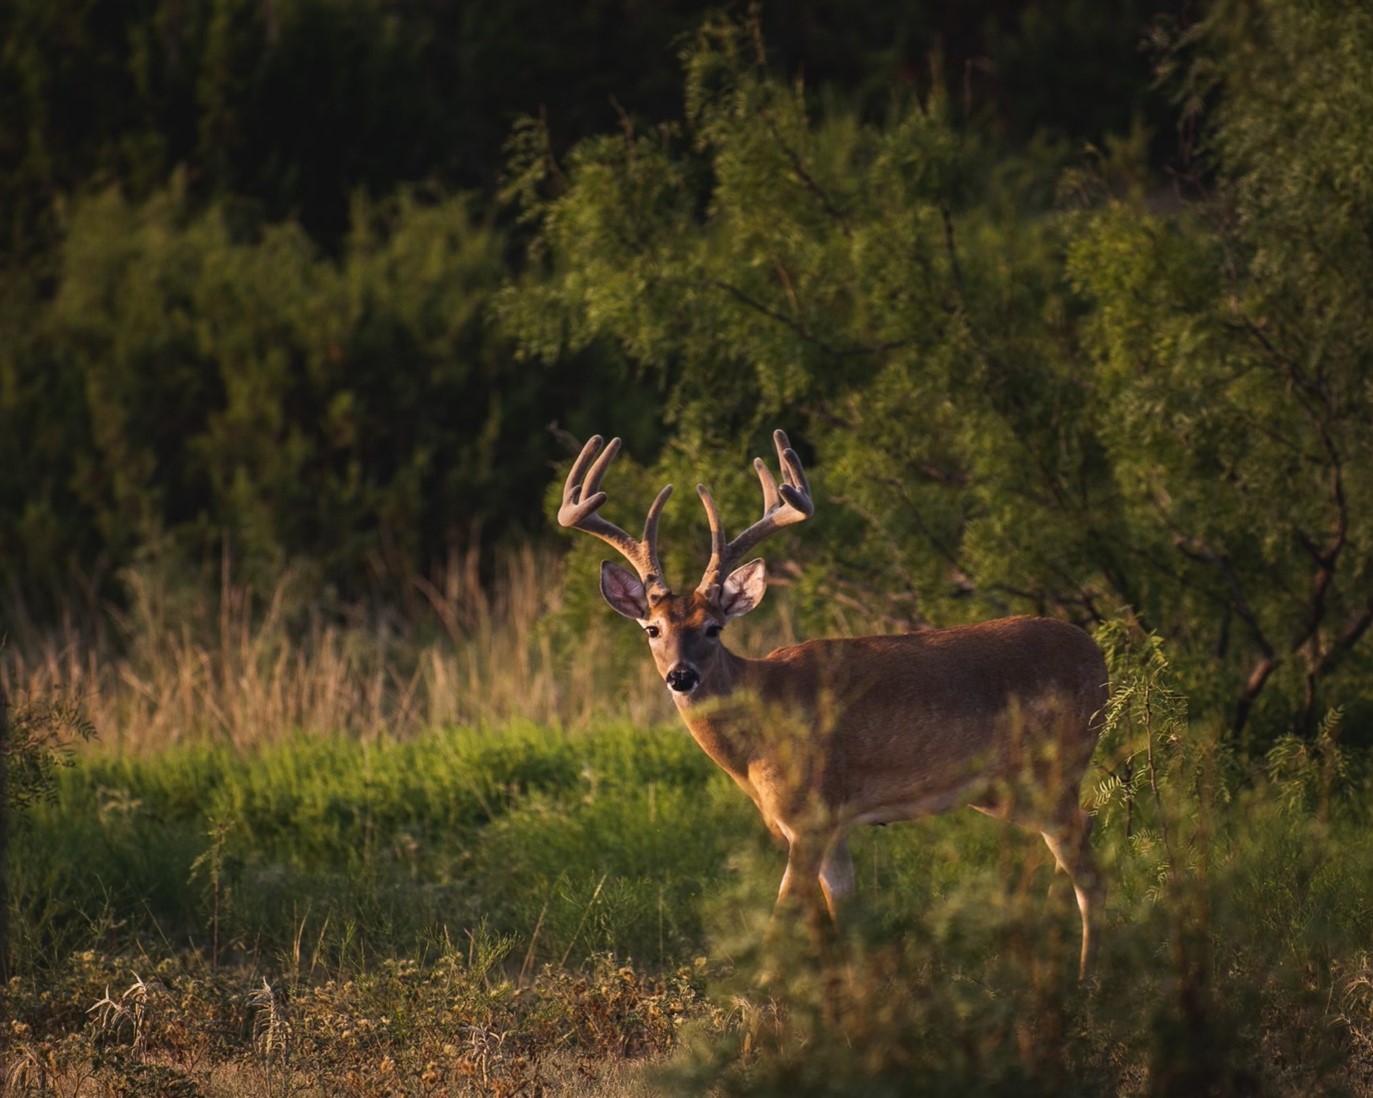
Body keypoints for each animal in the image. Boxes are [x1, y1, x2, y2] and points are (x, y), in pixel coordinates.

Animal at [554, 425, 1103, 977]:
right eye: (652, 628)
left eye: (713, 628)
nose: (680, 676)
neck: (757, 737)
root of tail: (1097, 655)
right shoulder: (833, 827)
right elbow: (846, 922)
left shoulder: (809, 817)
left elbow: (782, 928)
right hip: (1003, 792)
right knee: (1081, 835)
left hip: (1054, 770)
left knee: (1085, 859)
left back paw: (1089, 979)